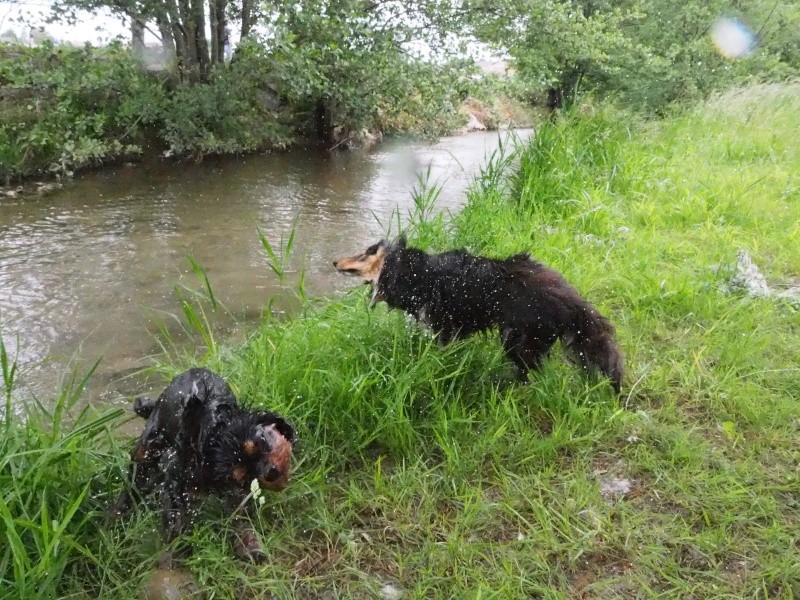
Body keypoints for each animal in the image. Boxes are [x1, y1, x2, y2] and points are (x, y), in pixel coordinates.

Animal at [106, 368, 294, 560]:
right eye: (244, 472)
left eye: (262, 440)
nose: (271, 472)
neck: (214, 430)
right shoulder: (178, 480)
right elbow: (174, 520)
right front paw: (170, 552)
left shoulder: (233, 488)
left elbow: (239, 512)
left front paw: (250, 544)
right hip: (147, 449)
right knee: (134, 483)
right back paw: (114, 517)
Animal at [332, 234, 624, 394]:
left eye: (365, 253)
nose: (334, 261)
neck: (413, 274)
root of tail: (571, 301)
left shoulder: (444, 329)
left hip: (518, 339)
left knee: (529, 371)